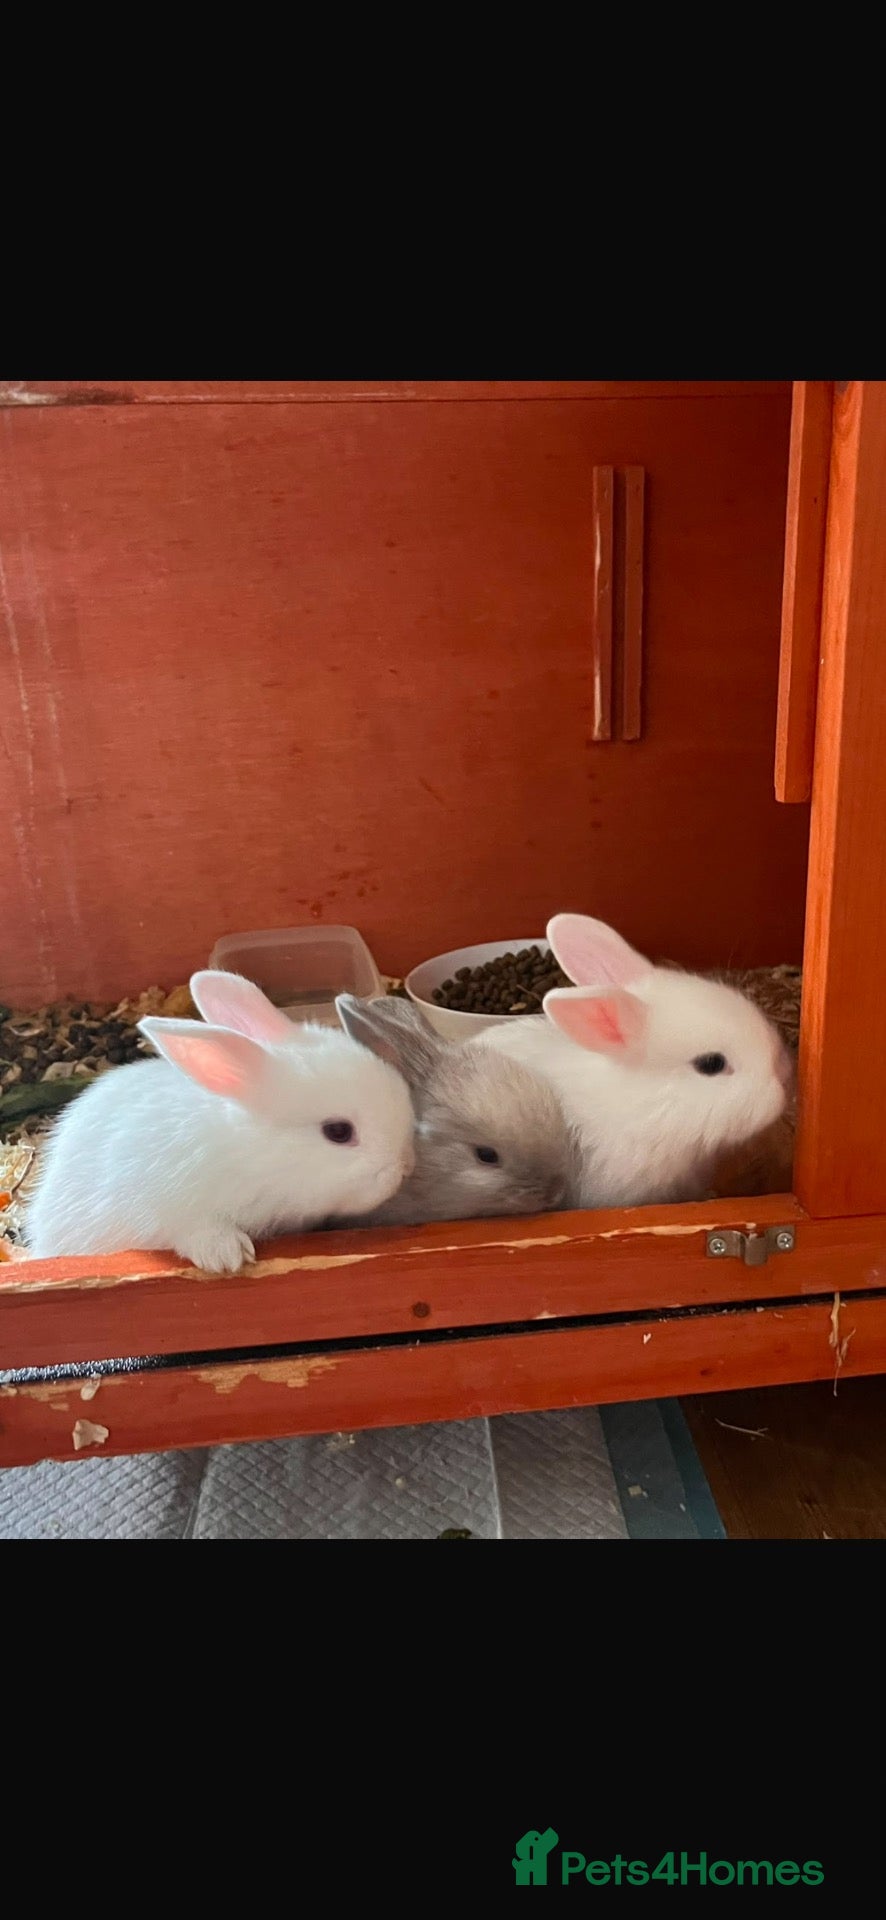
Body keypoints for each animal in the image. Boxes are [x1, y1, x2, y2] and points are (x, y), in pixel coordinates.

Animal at [25, 970, 416, 1272]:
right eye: (338, 1132)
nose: (405, 1167)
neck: (246, 1155)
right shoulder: (161, 1205)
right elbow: (189, 1230)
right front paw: (228, 1256)